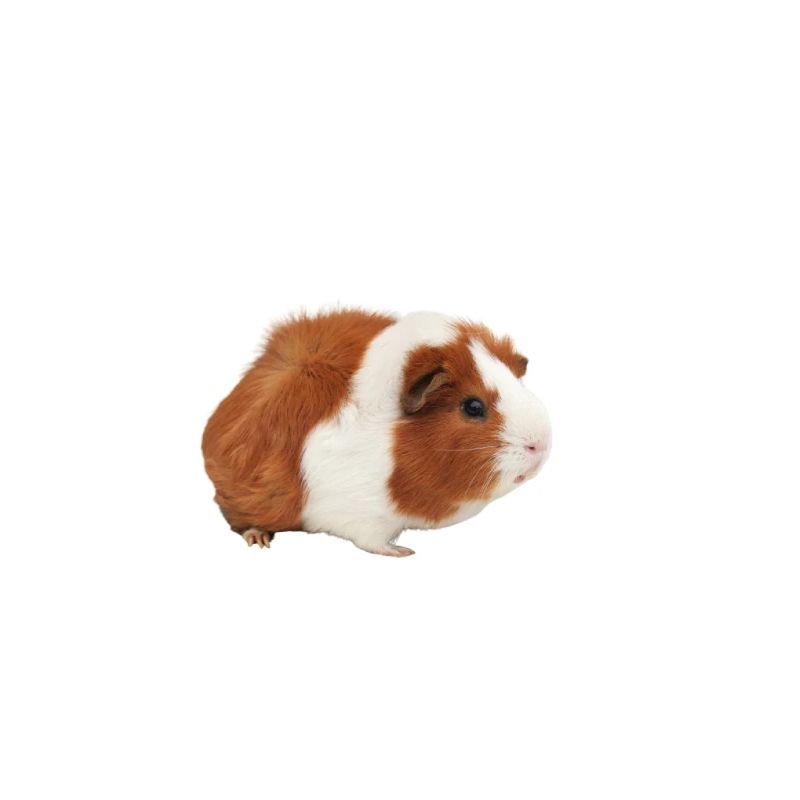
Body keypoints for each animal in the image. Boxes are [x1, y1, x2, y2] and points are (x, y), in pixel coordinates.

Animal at [202, 309, 551, 556]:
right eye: (473, 406)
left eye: (517, 382)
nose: (541, 444)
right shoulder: (361, 516)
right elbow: (371, 541)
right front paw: (402, 552)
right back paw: (259, 538)